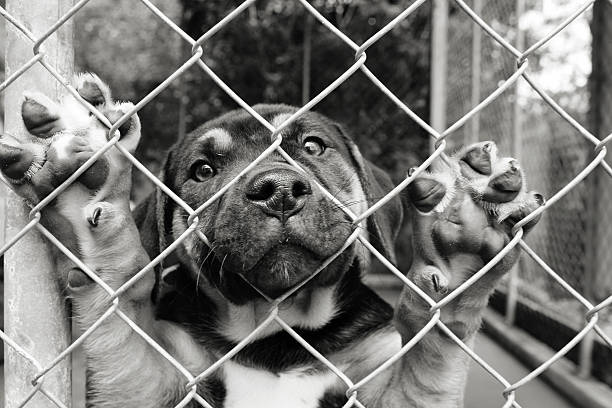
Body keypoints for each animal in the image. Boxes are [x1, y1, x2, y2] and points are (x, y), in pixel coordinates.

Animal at [1, 75, 544, 406]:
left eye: (313, 146)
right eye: (203, 170)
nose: (277, 190)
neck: (276, 331)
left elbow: (428, 365)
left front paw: (459, 256)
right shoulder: (149, 383)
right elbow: (120, 337)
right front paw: (86, 206)